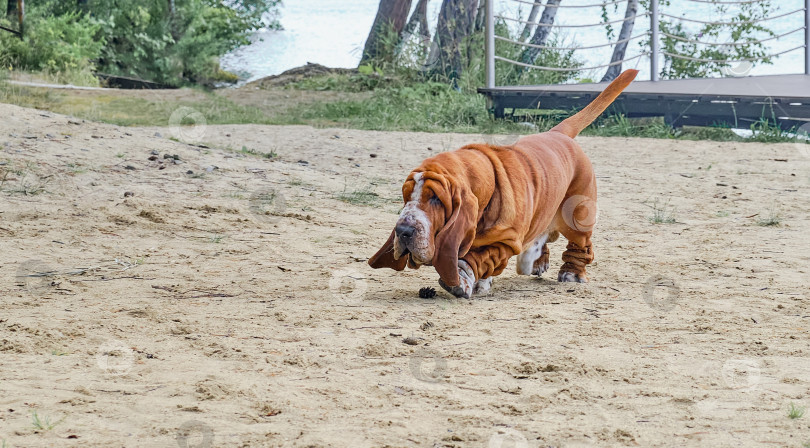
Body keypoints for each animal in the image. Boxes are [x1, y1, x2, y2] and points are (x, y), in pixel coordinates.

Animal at [366, 69, 636, 298]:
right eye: (406, 196)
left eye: (435, 198)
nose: (403, 230)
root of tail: (559, 133)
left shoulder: (504, 241)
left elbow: (476, 259)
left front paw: (463, 280)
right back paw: (537, 261)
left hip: (578, 215)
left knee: (580, 244)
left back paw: (572, 274)